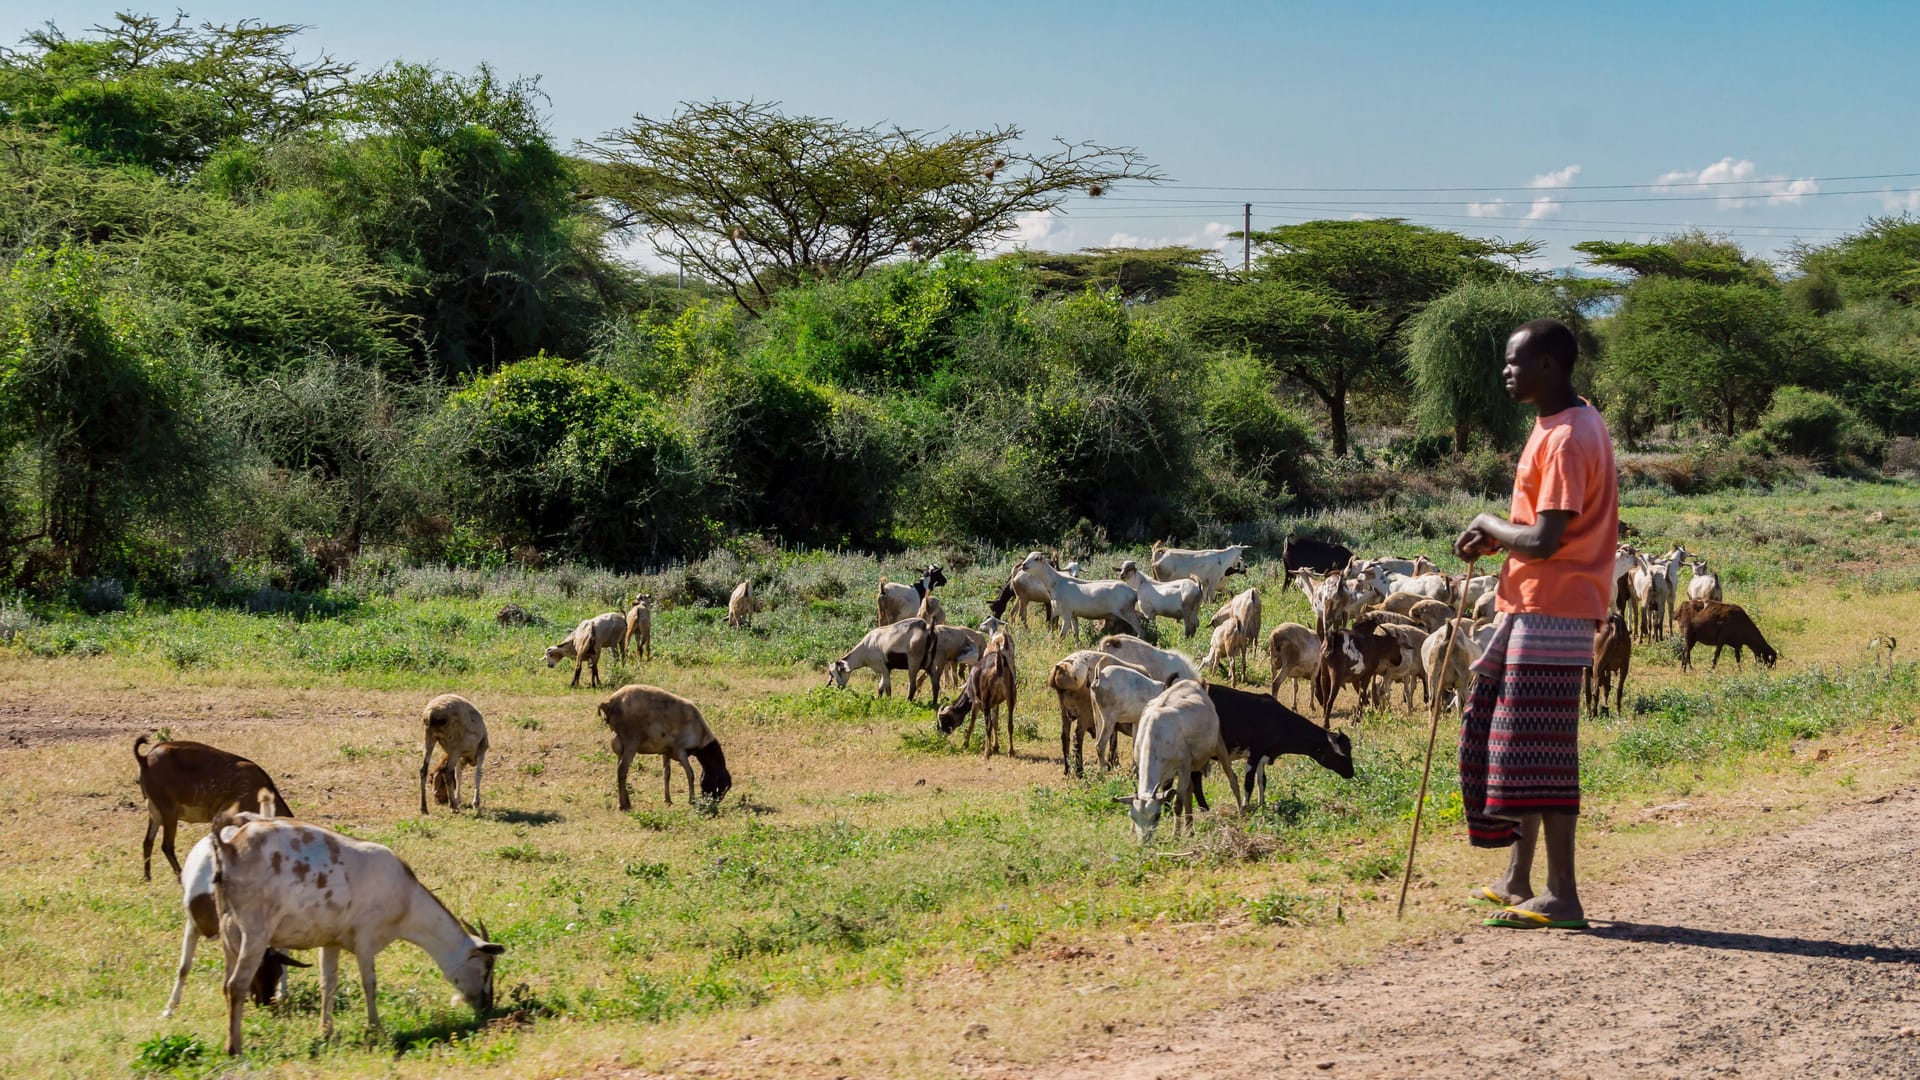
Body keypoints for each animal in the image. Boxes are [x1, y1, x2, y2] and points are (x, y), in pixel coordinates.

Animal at [135, 730, 291, 883]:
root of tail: (145, 759)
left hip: (154, 812)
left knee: (147, 842)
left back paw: (147, 877)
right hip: (169, 810)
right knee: (166, 846)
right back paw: (180, 877)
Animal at [163, 787, 307, 1014]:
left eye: (273, 973)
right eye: (256, 972)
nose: (265, 1003)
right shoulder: (193, 924)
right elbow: (184, 967)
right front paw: (169, 1009)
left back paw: (283, 993)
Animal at [208, 810, 503, 1045]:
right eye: (487, 966)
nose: (487, 1006)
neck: (407, 899)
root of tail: (229, 847)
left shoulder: (330, 941)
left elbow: (328, 983)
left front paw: (326, 1031)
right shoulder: (366, 938)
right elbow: (369, 982)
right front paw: (376, 1028)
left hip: (228, 933)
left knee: (225, 984)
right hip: (255, 932)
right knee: (236, 985)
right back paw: (236, 1049)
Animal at [595, 684, 729, 803]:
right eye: (721, 785)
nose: (713, 802)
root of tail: (609, 703)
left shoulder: (666, 751)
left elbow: (667, 774)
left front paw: (668, 800)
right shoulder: (681, 751)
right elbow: (690, 774)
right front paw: (691, 800)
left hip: (620, 742)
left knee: (619, 768)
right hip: (631, 742)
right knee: (622, 770)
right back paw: (625, 805)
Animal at [1113, 672, 1244, 841]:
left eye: (1157, 816)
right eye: (1133, 817)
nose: (1144, 841)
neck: (1157, 736)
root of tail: (1194, 683)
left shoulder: (1183, 768)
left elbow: (1177, 804)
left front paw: (1175, 835)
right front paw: (1131, 832)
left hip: (1218, 745)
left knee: (1232, 778)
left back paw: (1241, 812)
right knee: (1190, 790)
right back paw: (1189, 828)